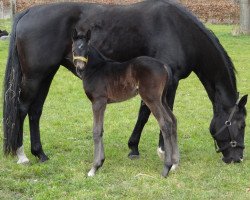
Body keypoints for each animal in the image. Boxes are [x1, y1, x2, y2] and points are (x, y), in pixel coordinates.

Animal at [71, 29, 179, 177]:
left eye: (86, 49)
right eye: (73, 49)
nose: (80, 68)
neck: (96, 69)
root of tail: (163, 65)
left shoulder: (98, 101)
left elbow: (96, 131)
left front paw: (94, 168)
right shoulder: (102, 103)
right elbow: (101, 130)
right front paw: (100, 163)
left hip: (151, 98)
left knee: (165, 123)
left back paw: (166, 168)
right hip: (162, 99)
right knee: (173, 120)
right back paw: (175, 163)